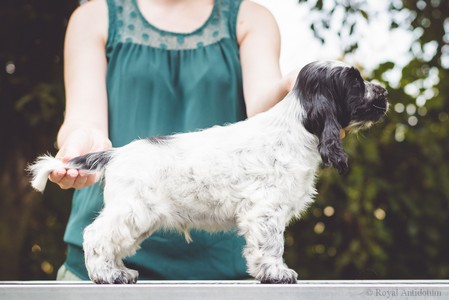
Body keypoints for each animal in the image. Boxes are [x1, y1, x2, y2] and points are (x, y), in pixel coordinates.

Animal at [29, 60, 388, 284]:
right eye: (355, 84)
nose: (384, 91)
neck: (296, 128)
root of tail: (116, 154)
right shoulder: (265, 211)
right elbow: (271, 246)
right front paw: (276, 273)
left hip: (140, 218)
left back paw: (121, 272)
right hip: (133, 209)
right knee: (96, 236)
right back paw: (108, 275)